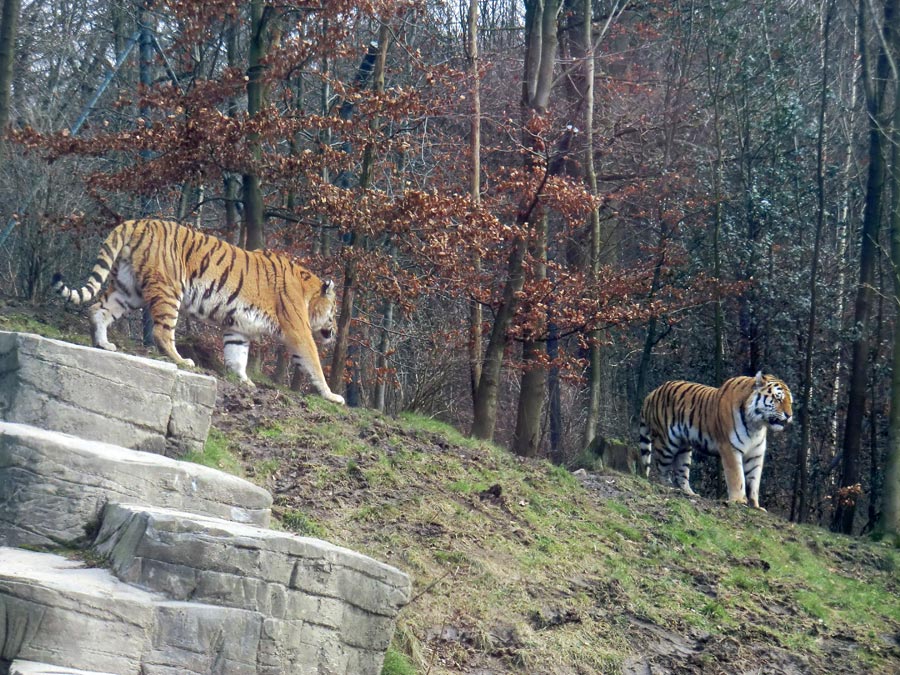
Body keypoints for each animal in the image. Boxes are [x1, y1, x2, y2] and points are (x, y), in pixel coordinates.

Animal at [52, 219, 346, 404]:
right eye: (334, 312)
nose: (333, 332)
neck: (307, 291)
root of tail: (137, 222)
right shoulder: (298, 330)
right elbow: (314, 364)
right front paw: (332, 396)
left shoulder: (238, 328)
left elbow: (237, 356)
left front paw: (244, 382)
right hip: (169, 291)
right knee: (161, 332)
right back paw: (183, 361)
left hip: (127, 291)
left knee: (98, 309)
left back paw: (103, 344)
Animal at [636, 372, 792, 510]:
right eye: (778, 399)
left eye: (790, 402)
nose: (789, 415)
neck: (757, 425)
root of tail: (651, 393)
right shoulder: (730, 448)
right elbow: (736, 476)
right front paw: (738, 500)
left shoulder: (756, 454)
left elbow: (754, 480)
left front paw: (755, 506)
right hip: (666, 444)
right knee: (662, 468)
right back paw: (667, 487)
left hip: (684, 448)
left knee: (681, 473)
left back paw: (690, 493)